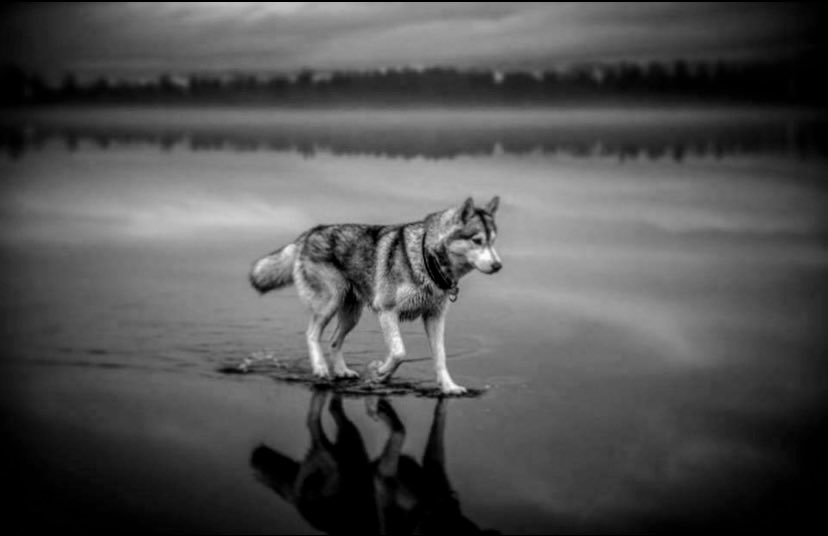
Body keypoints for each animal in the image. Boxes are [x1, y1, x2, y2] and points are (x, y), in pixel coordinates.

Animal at [249, 196, 501, 395]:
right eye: (477, 240)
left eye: (493, 241)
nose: (498, 265)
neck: (426, 259)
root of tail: (310, 232)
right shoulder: (387, 311)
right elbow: (399, 352)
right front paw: (380, 372)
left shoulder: (435, 317)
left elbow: (440, 356)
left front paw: (449, 387)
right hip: (330, 303)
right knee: (312, 334)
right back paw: (321, 369)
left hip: (351, 315)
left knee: (334, 341)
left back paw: (342, 371)